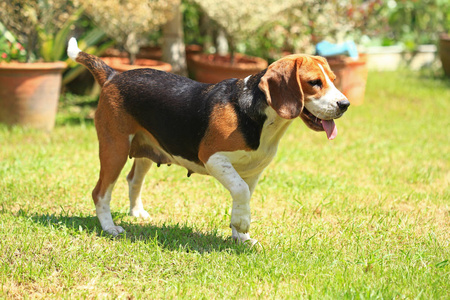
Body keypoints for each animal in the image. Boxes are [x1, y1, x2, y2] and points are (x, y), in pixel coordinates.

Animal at [67, 37, 350, 244]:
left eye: (334, 81)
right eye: (314, 83)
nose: (344, 105)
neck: (260, 118)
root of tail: (113, 75)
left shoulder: (253, 171)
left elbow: (243, 197)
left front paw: (241, 236)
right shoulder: (214, 158)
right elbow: (240, 191)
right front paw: (242, 224)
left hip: (145, 150)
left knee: (133, 180)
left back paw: (136, 213)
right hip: (114, 149)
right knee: (100, 192)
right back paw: (110, 227)